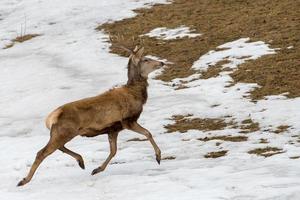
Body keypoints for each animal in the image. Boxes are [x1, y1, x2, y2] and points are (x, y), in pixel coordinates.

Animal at [17, 44, 164, 187]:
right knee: (41, 152)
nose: (162, 62)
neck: (136, 95)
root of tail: (51, 118)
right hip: (64, 132)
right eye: (146, 59)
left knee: (58, 147)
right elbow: (148, 133)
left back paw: (81, 161)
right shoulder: (128, 120)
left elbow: (113, 151)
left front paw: (97, 169)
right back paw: (24, 180)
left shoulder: (113, 129)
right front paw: (158, 157)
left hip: (61, 133)